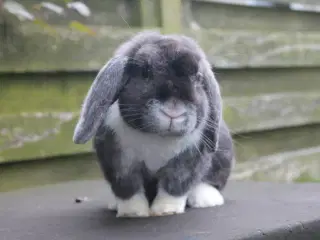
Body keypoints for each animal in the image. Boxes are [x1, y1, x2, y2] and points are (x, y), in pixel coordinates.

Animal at [73, 31, 235, 218]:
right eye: (145, 72)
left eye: (198, 78)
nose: (173, 111)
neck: (158, 137)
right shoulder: (120, 162)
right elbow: (127, 188)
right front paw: (132, 212)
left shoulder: (187, 161)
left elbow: (175, 186)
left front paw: (166, 210)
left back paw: (206, 199)